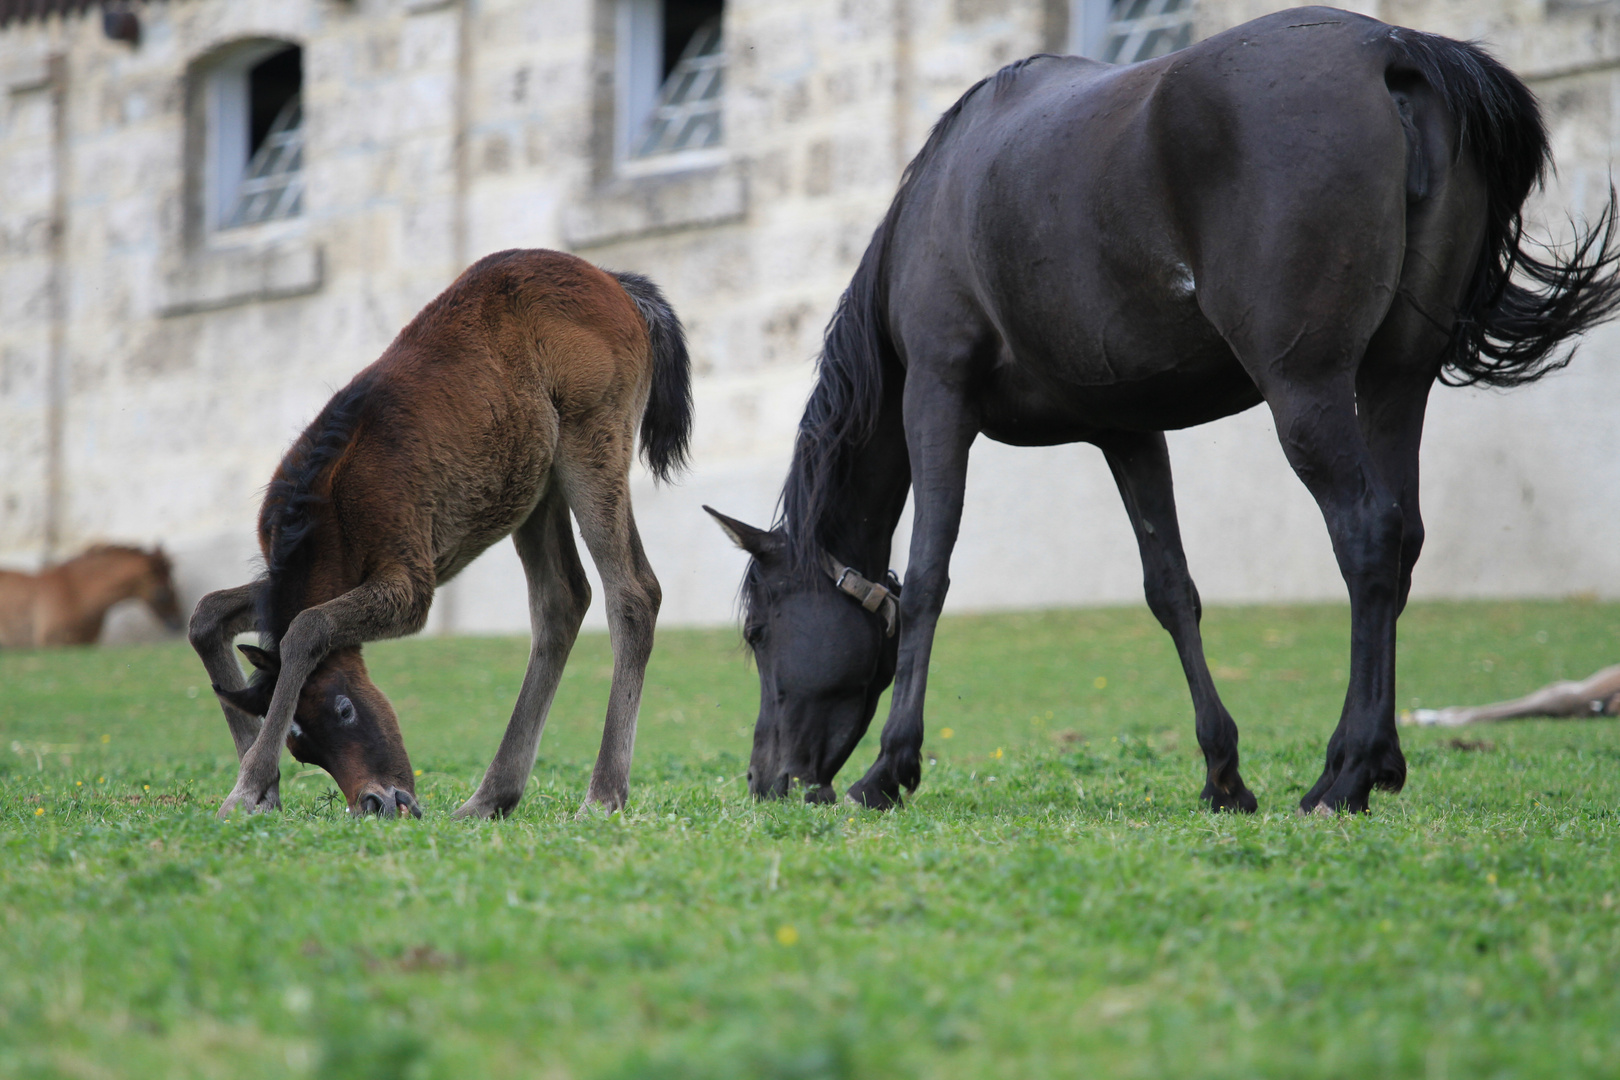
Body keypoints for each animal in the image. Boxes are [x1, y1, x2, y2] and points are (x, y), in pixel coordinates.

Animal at [187, 247, 690, 819]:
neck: (328, 509)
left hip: (593, 440)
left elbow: (306, 628)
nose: (380, 801)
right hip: (535, 488)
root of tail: (615, 281)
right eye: (303, 748)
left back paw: (603, 795)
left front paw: (247, 789)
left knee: (633, 592)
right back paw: (490, 797)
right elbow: (205, 616)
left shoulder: (410, 585)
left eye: (344, 709)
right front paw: (263, 789)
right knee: (561, 600)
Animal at [706, 8, 1620, 816]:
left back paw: (1346, 773)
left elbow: (930, 573)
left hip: (1308, 389)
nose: (765, 780)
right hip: (1396, 381)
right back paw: (1376, 761)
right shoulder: (1128, 429)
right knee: (1405, 539)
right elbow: (1171, 588)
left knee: (1367, 534)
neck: (940, 197)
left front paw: (890, 770)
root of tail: (1395, 50)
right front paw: (1223, 776)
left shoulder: (936, 393)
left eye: (757, 634)